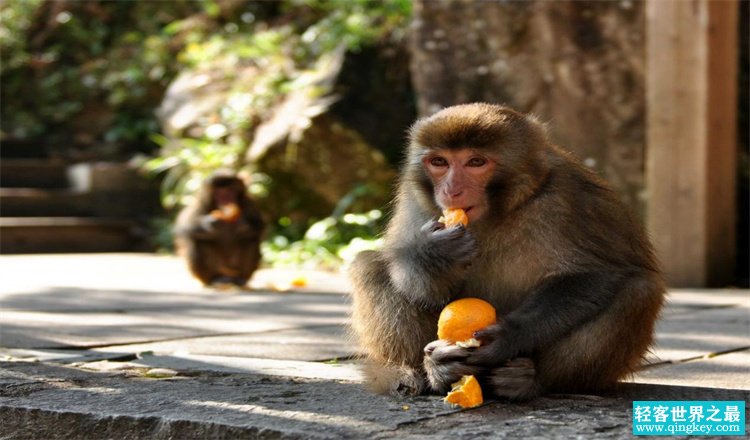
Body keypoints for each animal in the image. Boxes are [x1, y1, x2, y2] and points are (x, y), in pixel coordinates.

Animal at [350, 104, 668, 402]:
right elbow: (414, 283)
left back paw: (531, 381)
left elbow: (595, 275)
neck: (496, 213)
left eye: (476, 162)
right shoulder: (414, 196)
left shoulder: (567, 199)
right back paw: (432, 372)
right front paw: (434, 256)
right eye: (439, 162)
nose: (451, 190)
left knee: (639, 291)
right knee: (368, 266)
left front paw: (509, 335)